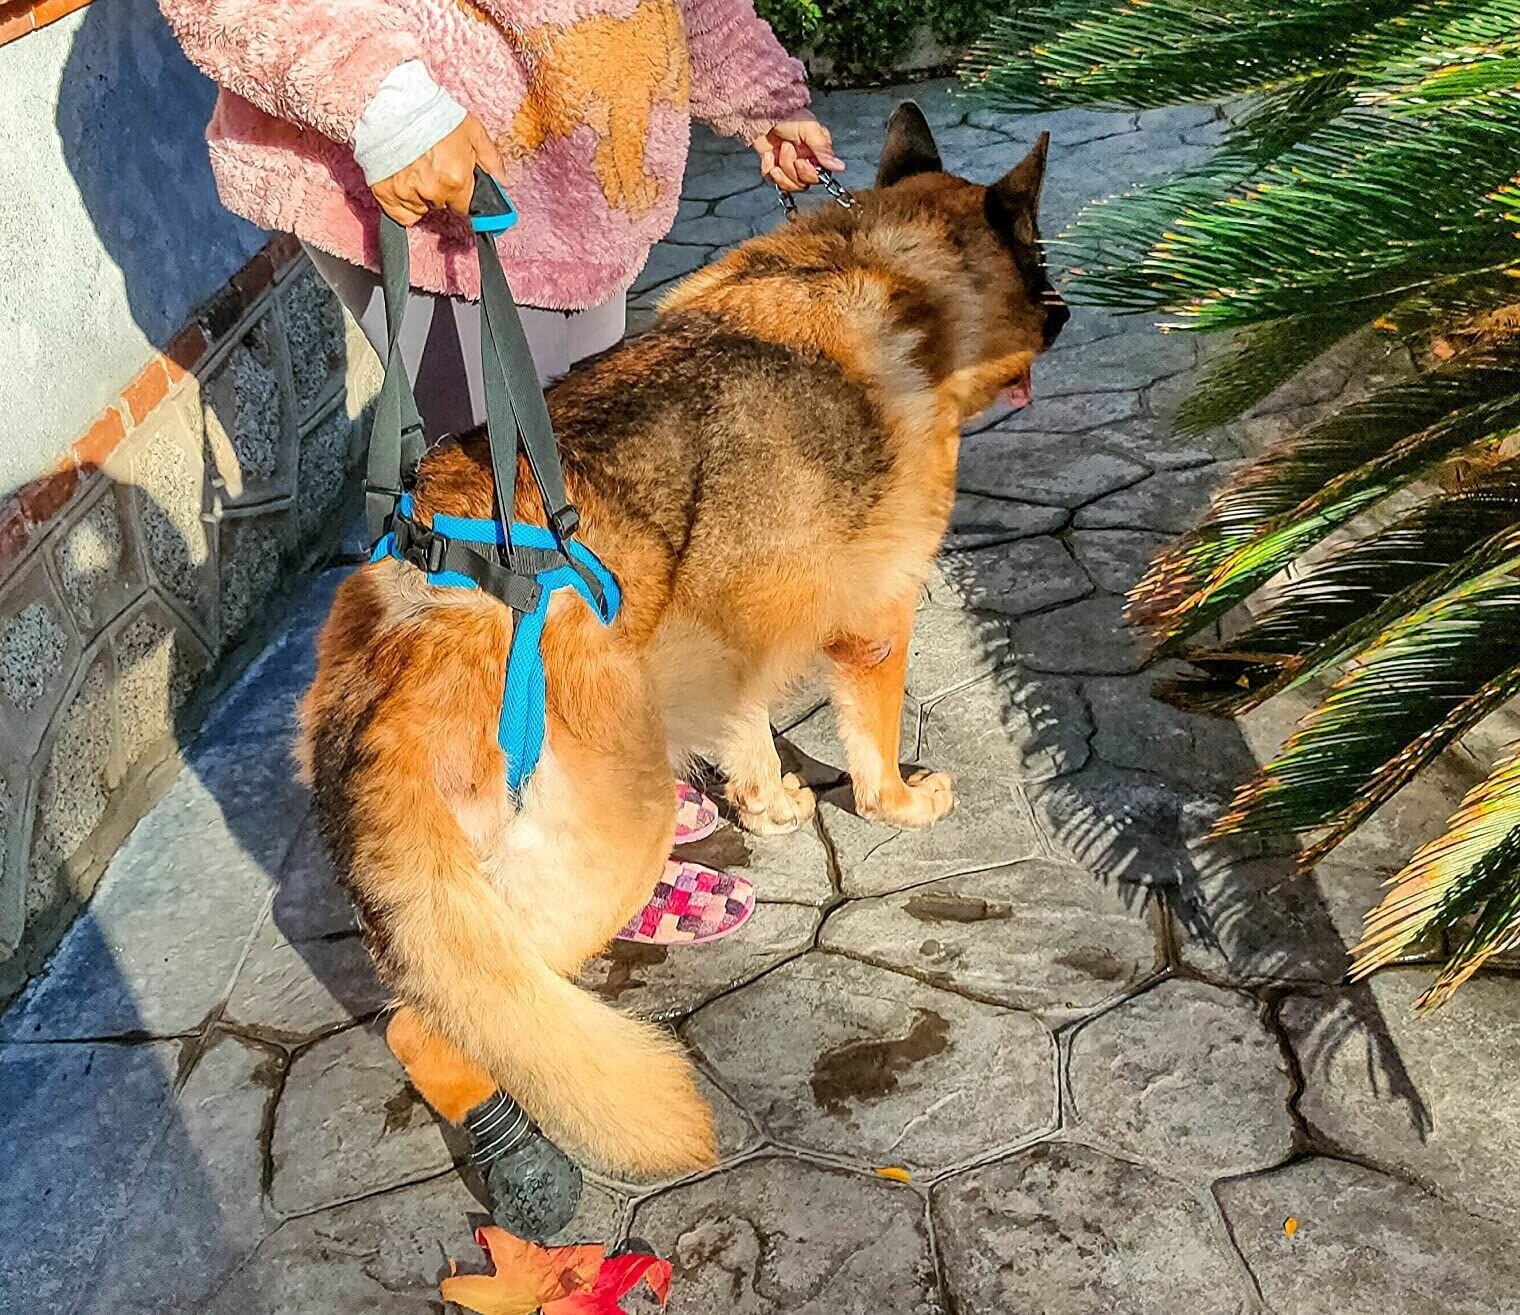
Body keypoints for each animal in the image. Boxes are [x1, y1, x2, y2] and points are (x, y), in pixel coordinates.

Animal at [296, 100, 1070, 1167]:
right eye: (1038, 253)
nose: (1067, 313)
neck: (881, 261)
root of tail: (404, 638)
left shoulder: (725, 637)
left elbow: (745, 733)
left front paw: (769, 805)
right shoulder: (876, 624)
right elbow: (872, 752)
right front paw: (898, 804)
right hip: (602, 850)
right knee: (444, 1018)